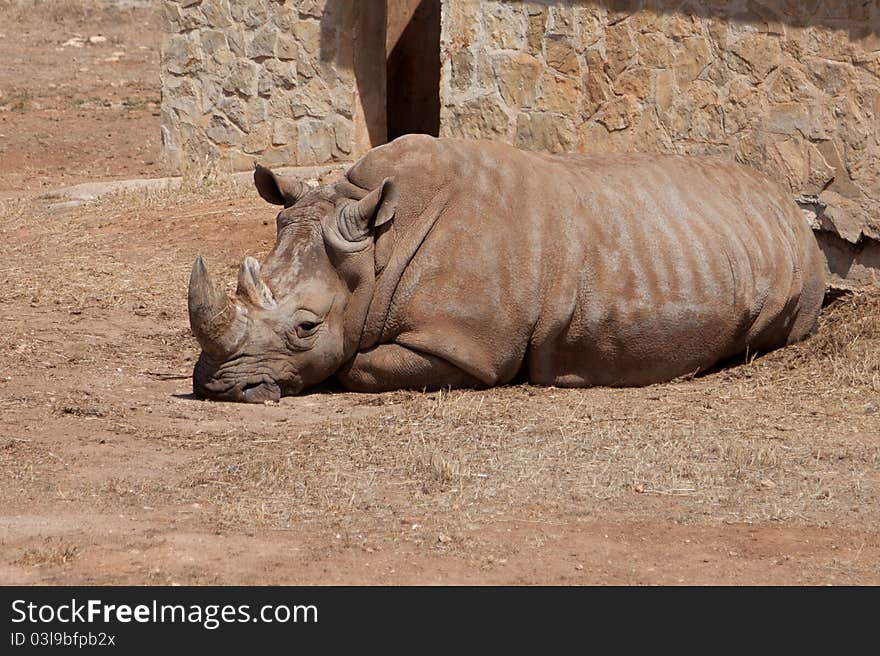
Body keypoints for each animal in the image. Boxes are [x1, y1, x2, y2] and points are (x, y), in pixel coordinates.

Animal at [187, 136, 824, 402]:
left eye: (307, 327)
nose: (218, 388)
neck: (374, 254)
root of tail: (792, 207)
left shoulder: (465, 346)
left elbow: (355, 366)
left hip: (797, 270)